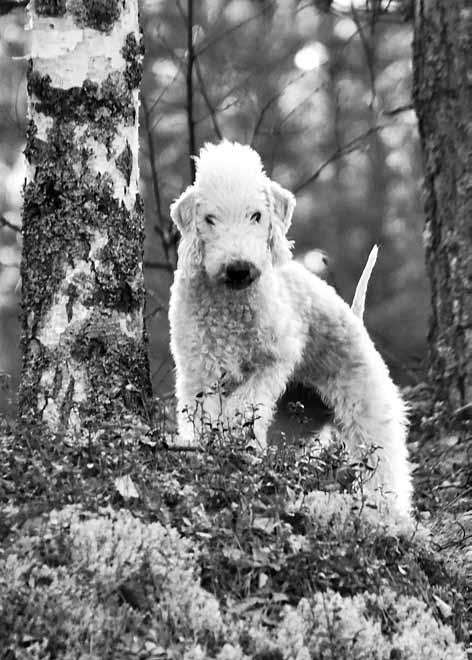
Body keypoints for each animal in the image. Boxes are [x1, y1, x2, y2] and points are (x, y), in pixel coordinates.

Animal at [168, 142, 412, 520]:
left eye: (256, 215)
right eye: (209, 219)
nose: (238, 268)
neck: (231, 303)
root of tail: (354, 317)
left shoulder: (276, 358)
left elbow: (245, 403)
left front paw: (232, 433)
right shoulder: (198, 368)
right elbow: (203, 412)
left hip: (366, 403)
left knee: (385, 462)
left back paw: (387, 513)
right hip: (297, 418)